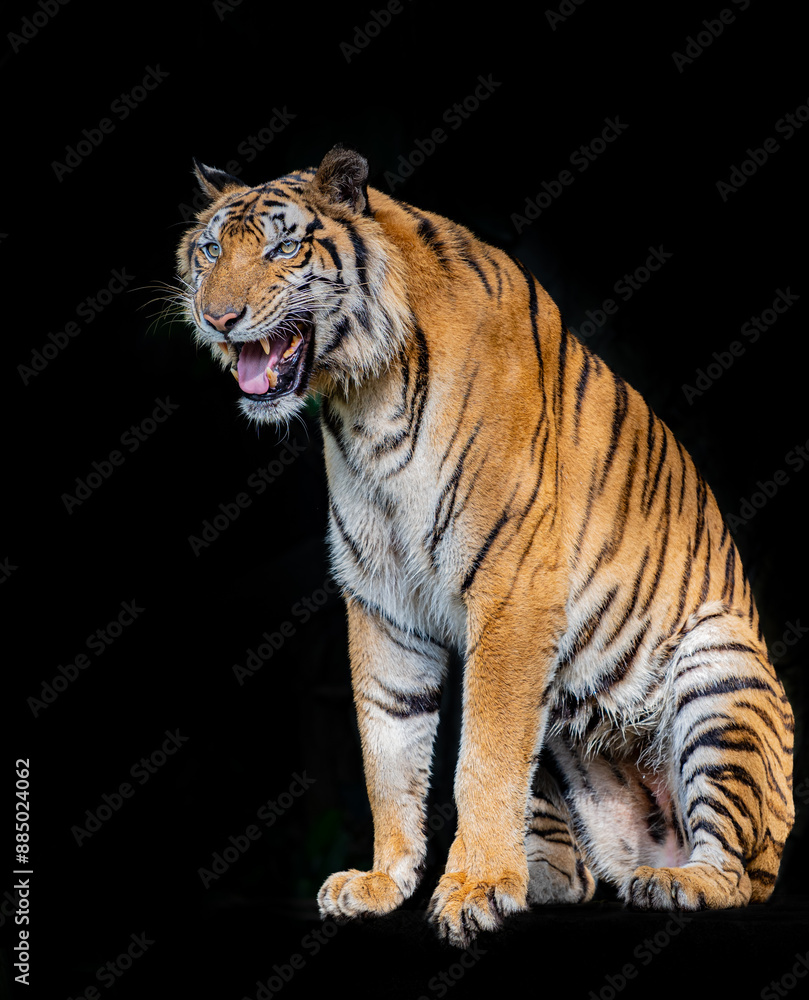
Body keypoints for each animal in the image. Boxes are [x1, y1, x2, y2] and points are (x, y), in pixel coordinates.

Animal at [176, 144, 794, 948]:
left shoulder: (513, 587)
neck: (364, 403)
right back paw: (543, 877)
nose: (218, 318)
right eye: (209, 251)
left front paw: (471, 890)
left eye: (283, 248)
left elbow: (483, 757)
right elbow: (387, 747)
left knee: (736, 872)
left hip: (719, 667)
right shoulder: (381, 600)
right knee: (581, 875)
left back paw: (675, 882)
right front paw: (383, 882)